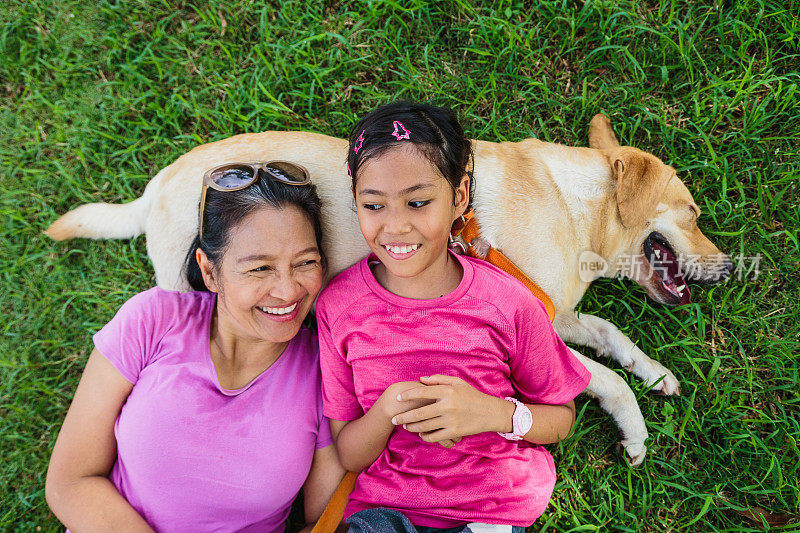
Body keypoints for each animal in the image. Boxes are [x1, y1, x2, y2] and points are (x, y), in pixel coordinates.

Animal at [43, 114, 732, 464]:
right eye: (694, 212)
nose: (727, 268)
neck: (573, 208)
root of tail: (155, 188)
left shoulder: (553, 311)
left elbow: (613, 336)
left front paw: (657, 373)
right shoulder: (540, 325)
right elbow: (605, 379)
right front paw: (635, 430)